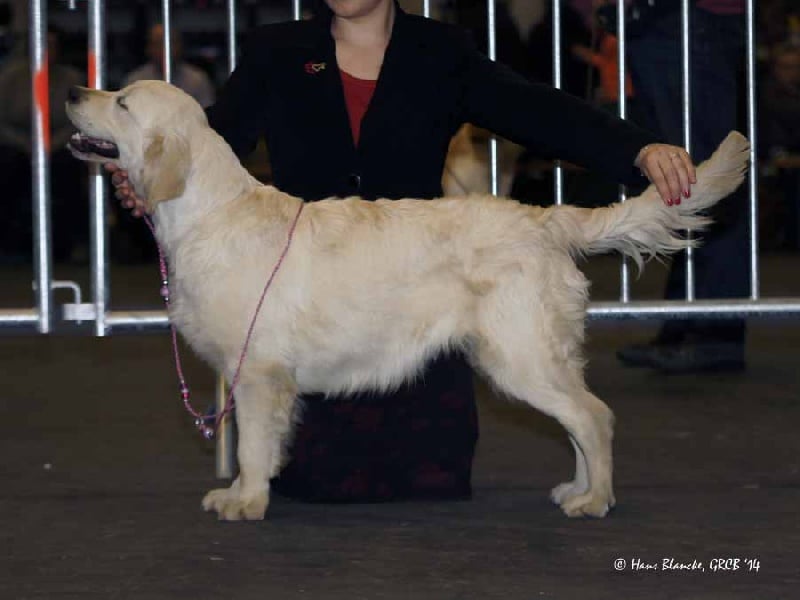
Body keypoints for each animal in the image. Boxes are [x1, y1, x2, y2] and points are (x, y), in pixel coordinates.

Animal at [66, 80, 749, 521]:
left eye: (121, 101)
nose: (73, 92)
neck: (208, 213)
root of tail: (543, 218)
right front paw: (246, 491)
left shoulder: (257, 371)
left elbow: (255, 444)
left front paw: (244, 499)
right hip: (535, 355)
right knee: (580, 420)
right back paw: (575, 489)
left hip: (519, 355)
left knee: (594, 416)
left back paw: (594, 501)